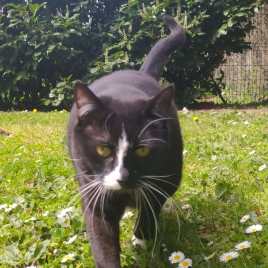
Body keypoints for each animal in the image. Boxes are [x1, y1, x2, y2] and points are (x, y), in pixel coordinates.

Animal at [67, 15, 184, 268]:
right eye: (103, 149)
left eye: (143, 151)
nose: (122, 178)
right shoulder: (93, 189)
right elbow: (101, 237)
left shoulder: (164, 179)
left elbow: (150, 209)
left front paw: (140, 240)